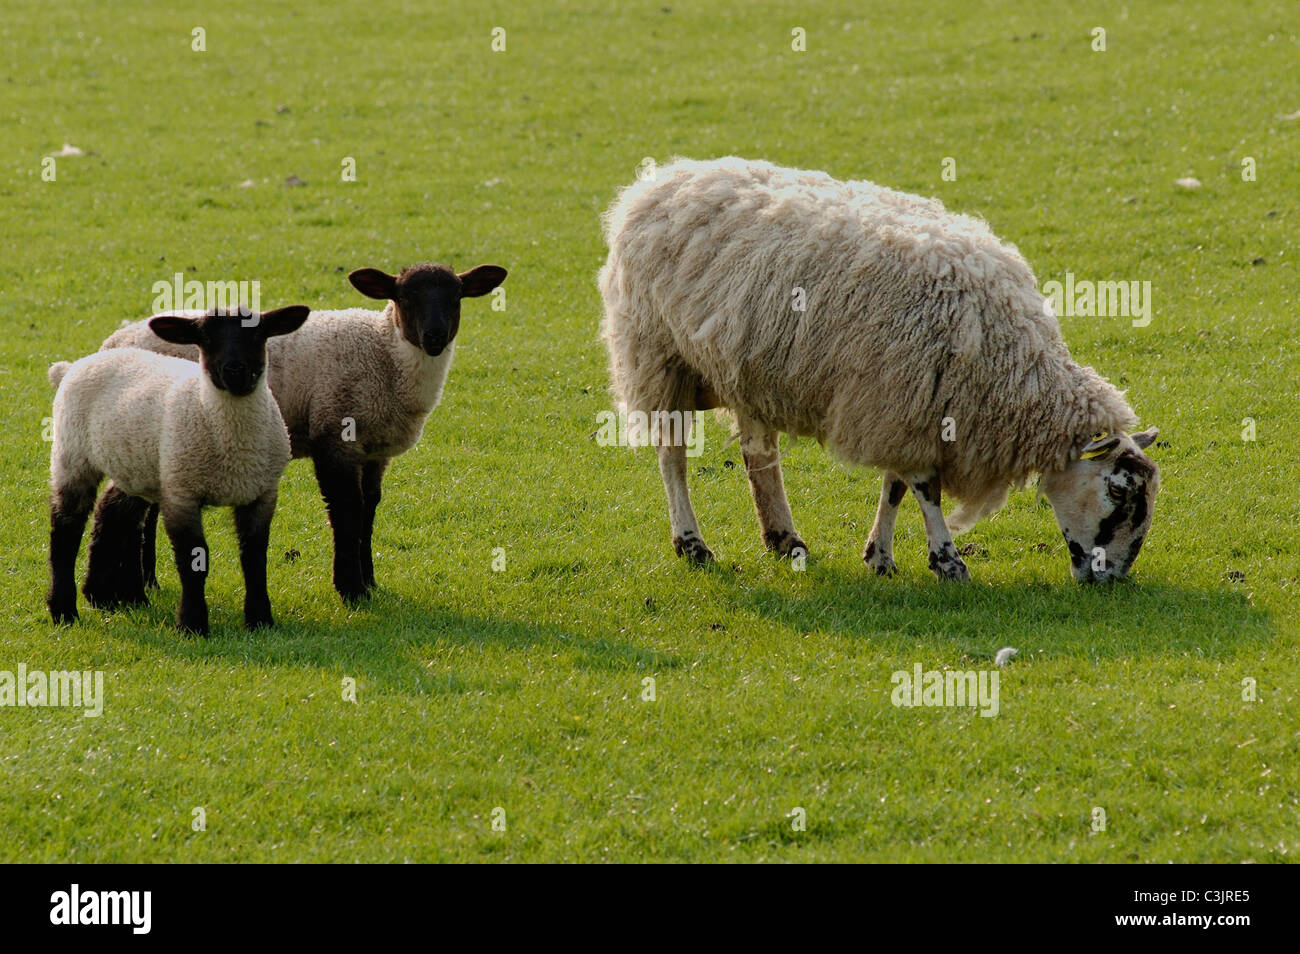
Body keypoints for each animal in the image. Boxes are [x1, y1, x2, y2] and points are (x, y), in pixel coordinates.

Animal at [47, 307, 310, 634]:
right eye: (205, 338)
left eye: (259, 334)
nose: (235, 370)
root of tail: (82, 362)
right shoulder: (182, 494)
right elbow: (193, 561)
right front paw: (193, 624)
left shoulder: (262, 494)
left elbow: (254, 558)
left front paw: (260, 620)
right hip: (72, 456)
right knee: (65, 529)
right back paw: (63, 611)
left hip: (138, 466)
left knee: (113, 511)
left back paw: (105, 596)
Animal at [92, 262, 508, 604]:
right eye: (404, 297)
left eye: (456, 297)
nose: (435, 336)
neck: (385, 354)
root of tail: (112, 342)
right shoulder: (335, 435)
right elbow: (347, 510)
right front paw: (351, 589)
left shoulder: (375, 451)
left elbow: (370, 507)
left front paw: (370, 581)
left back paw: (149, 583)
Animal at [598, 157, 1160, 583]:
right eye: (1117, 491)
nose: (1111, 579)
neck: (1010, 363)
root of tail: (660, 179)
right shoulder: (902, 399)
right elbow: (925, 488)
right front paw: (947, 561)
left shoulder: (906, 406)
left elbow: (894, 485)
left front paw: (881, 557)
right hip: (657, 355)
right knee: (672, 457)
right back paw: (692, 544)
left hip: (747, 371)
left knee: (759, 452)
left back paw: (784, 538)